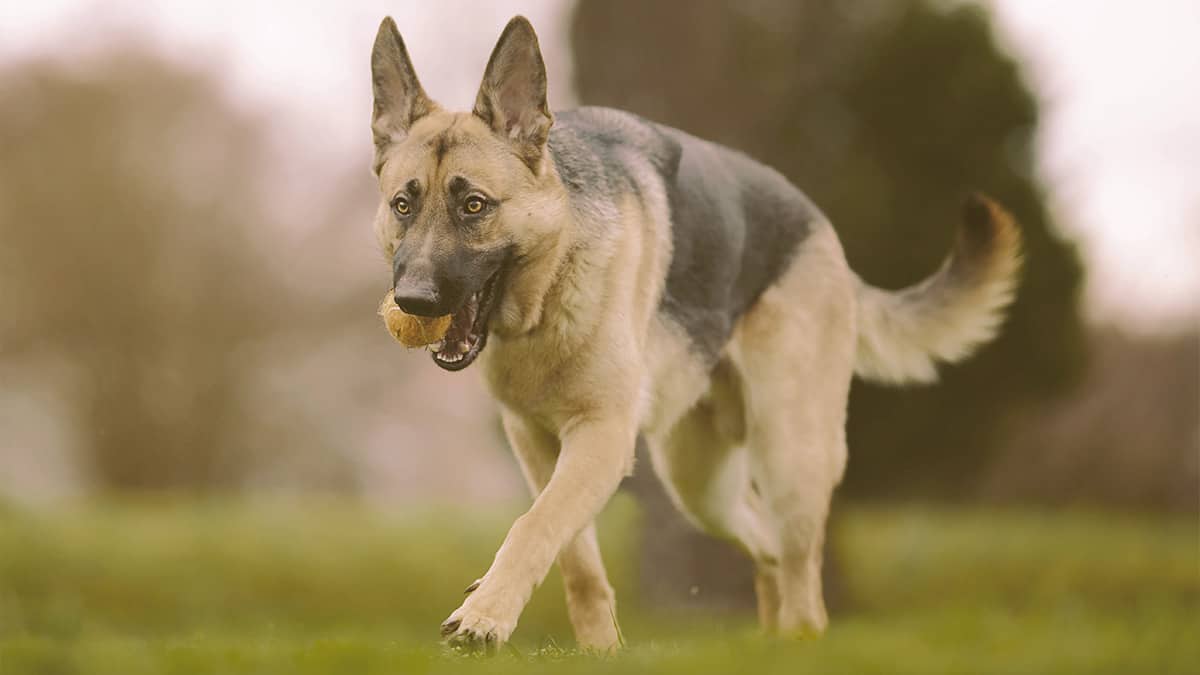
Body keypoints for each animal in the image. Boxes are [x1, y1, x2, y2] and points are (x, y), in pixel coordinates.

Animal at [367, 14, 1022, 648]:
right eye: (403, 205)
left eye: (475, 206)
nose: (414, 301)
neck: (549, 289)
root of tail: (820, 226)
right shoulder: (538, 445)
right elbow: (575, 556)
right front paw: (598, 651)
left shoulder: (601, 436)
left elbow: (537, 524)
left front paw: (484, 617)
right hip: (699, 485)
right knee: (766, 548)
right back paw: (770, 641)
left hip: (791, 456)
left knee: (800, 572)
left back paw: (800, 639)